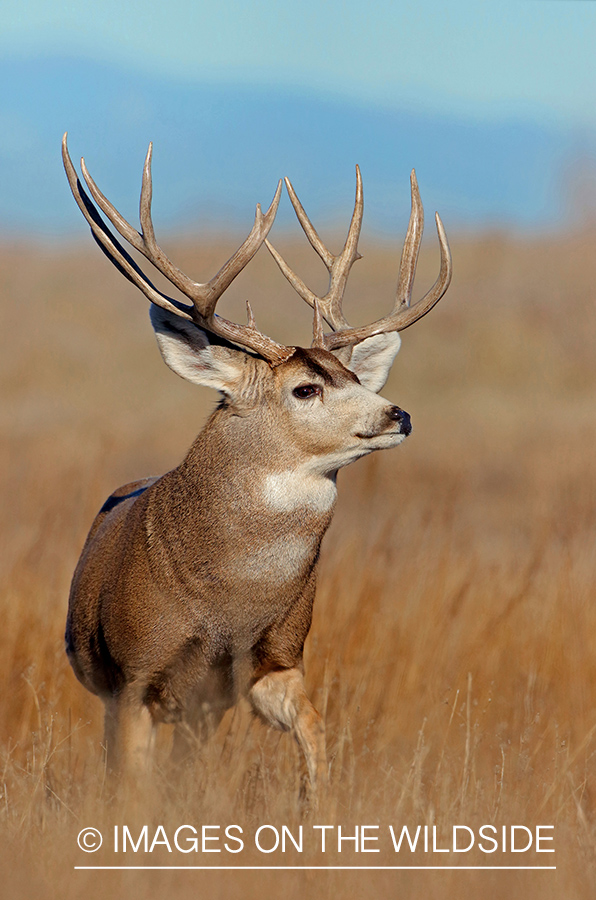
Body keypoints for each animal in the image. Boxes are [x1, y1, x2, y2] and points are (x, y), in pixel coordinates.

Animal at [61, 130, 452, 800]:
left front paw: (316, 808)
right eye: (305, 388)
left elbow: (315, 731)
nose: (397, 414)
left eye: (355, 377)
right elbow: (131, 788)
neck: (228, 604)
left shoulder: (272, 659)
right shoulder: (135, 673)